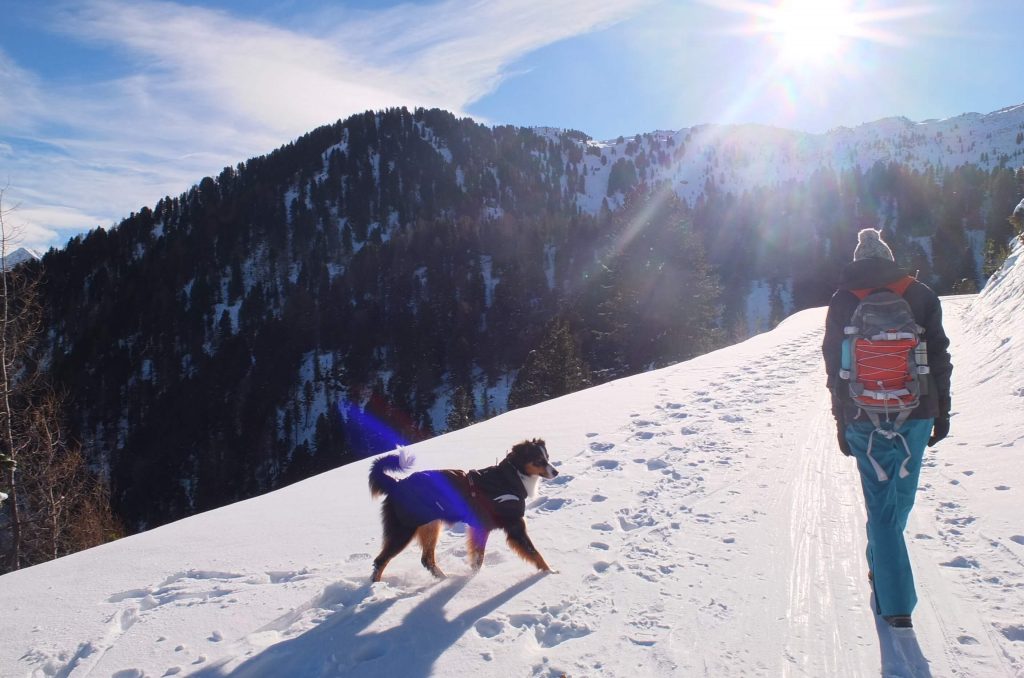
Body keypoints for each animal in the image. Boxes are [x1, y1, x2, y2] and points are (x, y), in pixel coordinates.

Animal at [370, 440, 561, 585]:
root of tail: (396, 484)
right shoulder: (514, 527)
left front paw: (470, 578)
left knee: (427, 559)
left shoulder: (481, 528)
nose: (556, 471)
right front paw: (550, 572)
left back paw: (444, 579)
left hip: (430, 526)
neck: (511, 478)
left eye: (547, 458)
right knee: (380, 560)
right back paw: (375, 589)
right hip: (403, 530)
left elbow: (478, 558)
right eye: (538, 460)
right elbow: (534, 552)